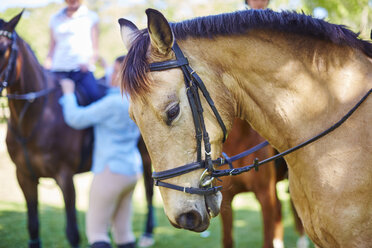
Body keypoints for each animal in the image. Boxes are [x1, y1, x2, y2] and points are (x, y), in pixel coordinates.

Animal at [0, 12, 154, 248]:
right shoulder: (24, 176)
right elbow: (33, 225)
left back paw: (147, 233)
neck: (35, 117)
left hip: (146, 156)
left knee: (148, 192)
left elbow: (72, 232)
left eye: (2, 49)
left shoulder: (65, 177)